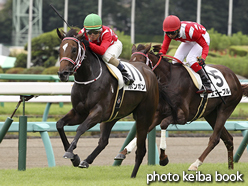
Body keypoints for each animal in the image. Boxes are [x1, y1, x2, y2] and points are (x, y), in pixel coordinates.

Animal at [55, 28, 159, 177]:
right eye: (60, 50)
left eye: (74, 49)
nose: (62, 73)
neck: (88, 79)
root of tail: (148, 69)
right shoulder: (79, 113)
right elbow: (59, 124)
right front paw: (75, 158)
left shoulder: (98, 112)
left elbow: (81, 128)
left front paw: (70, 153)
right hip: (113, 116)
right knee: (104, 141)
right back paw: (86, 161)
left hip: (144, 115)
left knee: (141, 149)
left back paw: (133, 175)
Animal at [115, 43, 248, 170]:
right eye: (130, 61)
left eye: (141, 61)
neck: (168, 80)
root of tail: (236, 79)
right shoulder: (160, 113)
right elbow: (145, 129)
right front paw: (123, 152)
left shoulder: (183, 117)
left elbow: (163, 124)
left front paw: (163, 158)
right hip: (211, 114)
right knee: (228, 139)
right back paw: (230, 168)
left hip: (225, 109)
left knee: (215, 138)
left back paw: (195, 164)